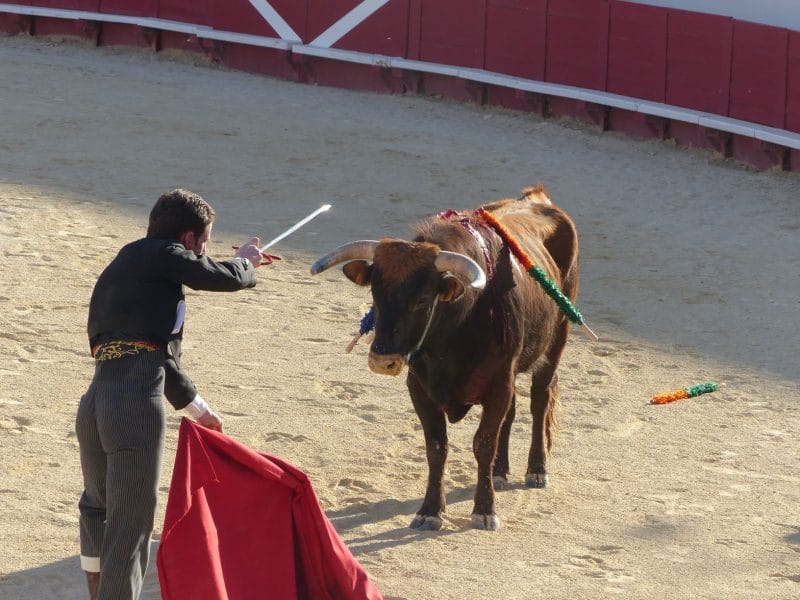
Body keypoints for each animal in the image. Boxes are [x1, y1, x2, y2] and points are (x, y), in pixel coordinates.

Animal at [312, 186, 580, 528]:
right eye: (374, 293)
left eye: (423, 299)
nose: (382, 360)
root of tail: (537, 198)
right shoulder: (421, 387)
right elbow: (436, 447)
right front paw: (429, 510)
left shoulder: (498, 383)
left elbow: (483, 443)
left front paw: (484, 510)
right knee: (512, 413)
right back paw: (500, 472)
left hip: (557, 339)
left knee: (539, 400)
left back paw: (536, 470)